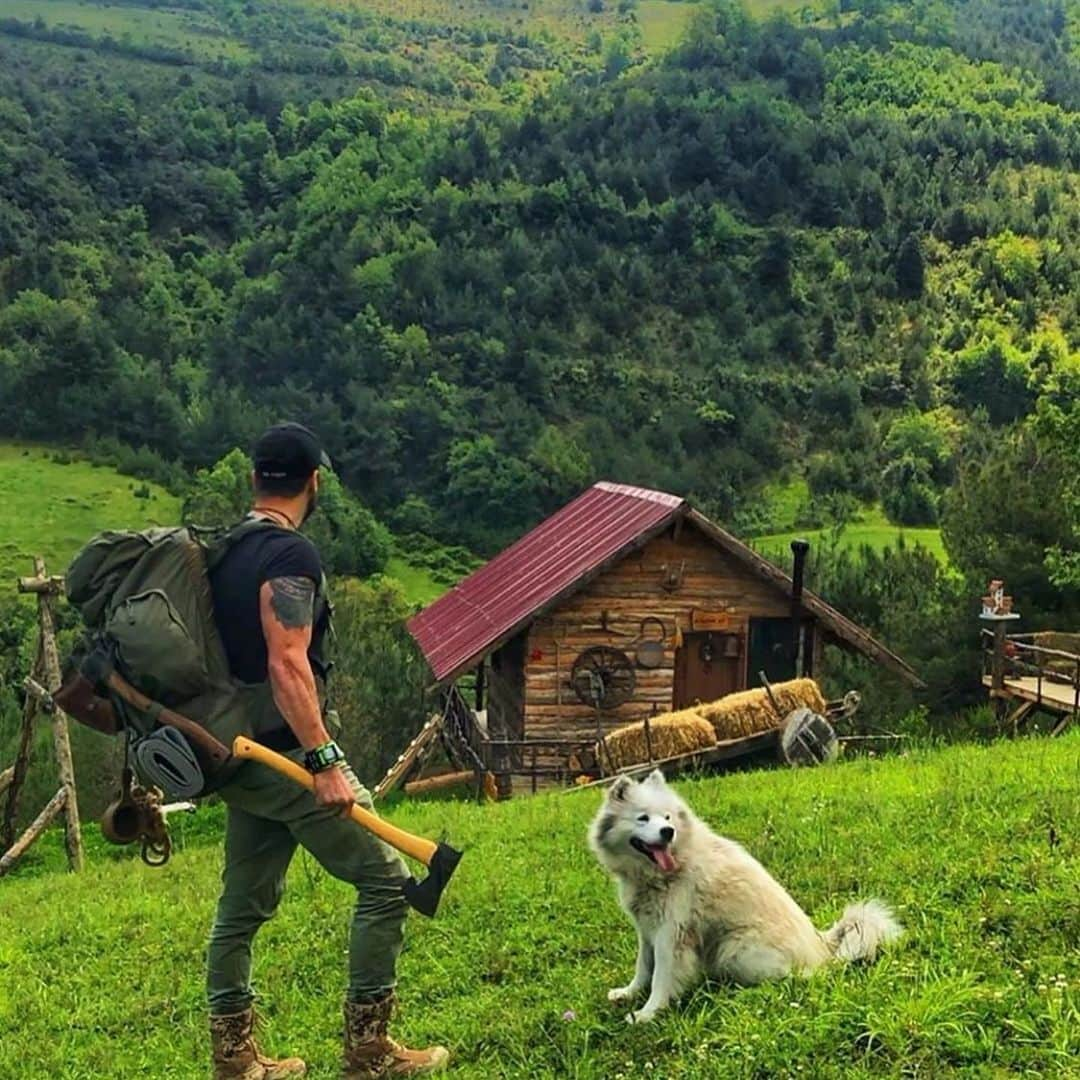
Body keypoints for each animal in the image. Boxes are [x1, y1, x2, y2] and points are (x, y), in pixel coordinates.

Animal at [587, 768, 898, 1019]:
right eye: (642, 818)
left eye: (667, 817)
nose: (667, 831)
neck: (665, 872)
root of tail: (822, 945)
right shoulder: (647, 929)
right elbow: (643, 967)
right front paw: (628, 993)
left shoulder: (671, 933)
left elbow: (661, 977)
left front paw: (648, 1013)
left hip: (734, 949)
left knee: (800, 975)